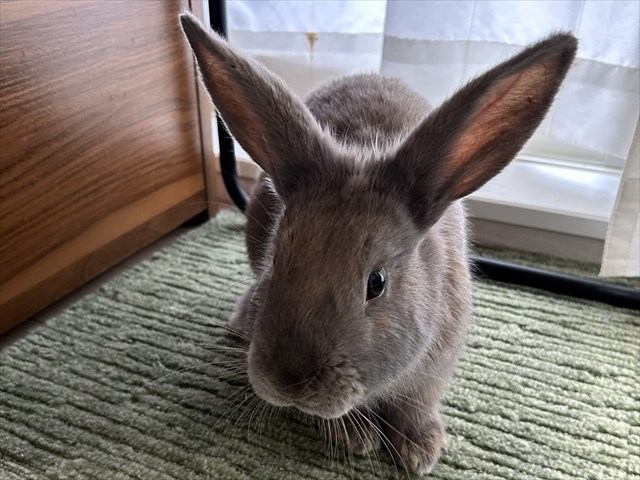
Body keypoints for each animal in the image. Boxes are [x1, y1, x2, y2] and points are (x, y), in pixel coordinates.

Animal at [180, 12, 577, 475]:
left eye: (377, 283)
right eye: (275, 262)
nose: (290, 382)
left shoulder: (435, 368)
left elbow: (417, 403)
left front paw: (420, 451)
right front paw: (358, 435)